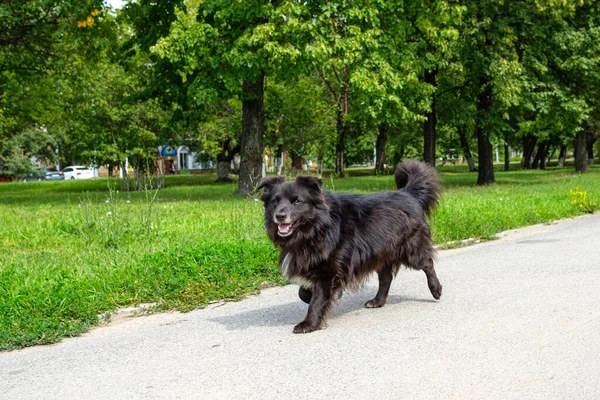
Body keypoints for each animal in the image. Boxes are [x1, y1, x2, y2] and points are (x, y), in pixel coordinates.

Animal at [255, 161, 442, 332]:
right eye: (275, 201)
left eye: (297, 201)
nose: (279, 216)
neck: (317, 227)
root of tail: (407, 193)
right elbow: (304, 293)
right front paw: (316, 298)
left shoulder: (328, 271)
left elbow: (317, 299)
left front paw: (309, 323)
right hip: (381, 252)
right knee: (386, 278)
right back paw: (377, 301)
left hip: (411, 250)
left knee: (427, 263)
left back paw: (436, 289)